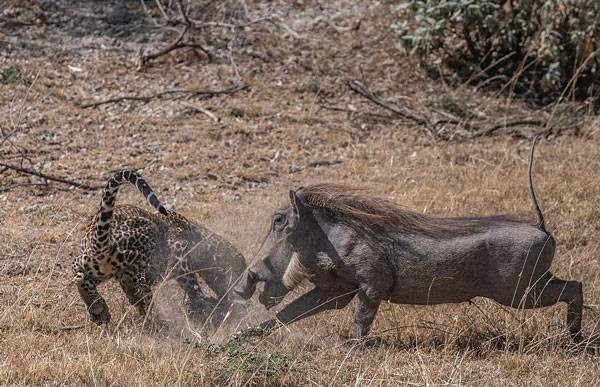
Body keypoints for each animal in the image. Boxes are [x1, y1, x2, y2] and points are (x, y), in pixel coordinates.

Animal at [72, 170, 246, 328]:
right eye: (237, 270)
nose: (242, 293)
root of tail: (96, 237)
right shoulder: (179, 252)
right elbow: (191, 284)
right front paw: (204, 306)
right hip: (143, 239)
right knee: (134, 279)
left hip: (94, 265)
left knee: (79, 275)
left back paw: (98, 307)